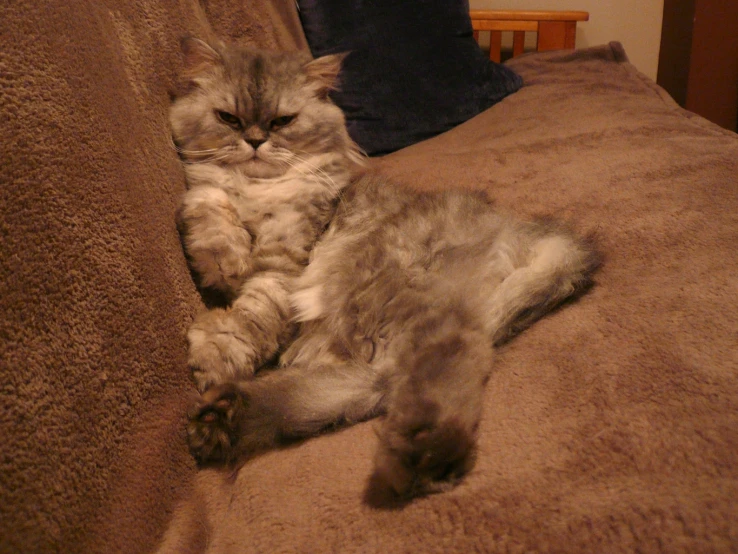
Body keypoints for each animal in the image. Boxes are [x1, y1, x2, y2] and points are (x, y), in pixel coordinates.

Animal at [171, 36, 600, 498]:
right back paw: (220, 422)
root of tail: (527, 230)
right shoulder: (209, 194)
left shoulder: (286, 258)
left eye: (282, 121)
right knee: (367, 388)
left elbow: (251, 315)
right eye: (228, 118)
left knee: (439, 367)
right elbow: (207, 205)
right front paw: (224, 259)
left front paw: (217, 352)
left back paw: (426, 455)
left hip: (381, 298)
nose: (254, 141)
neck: (257, 188)